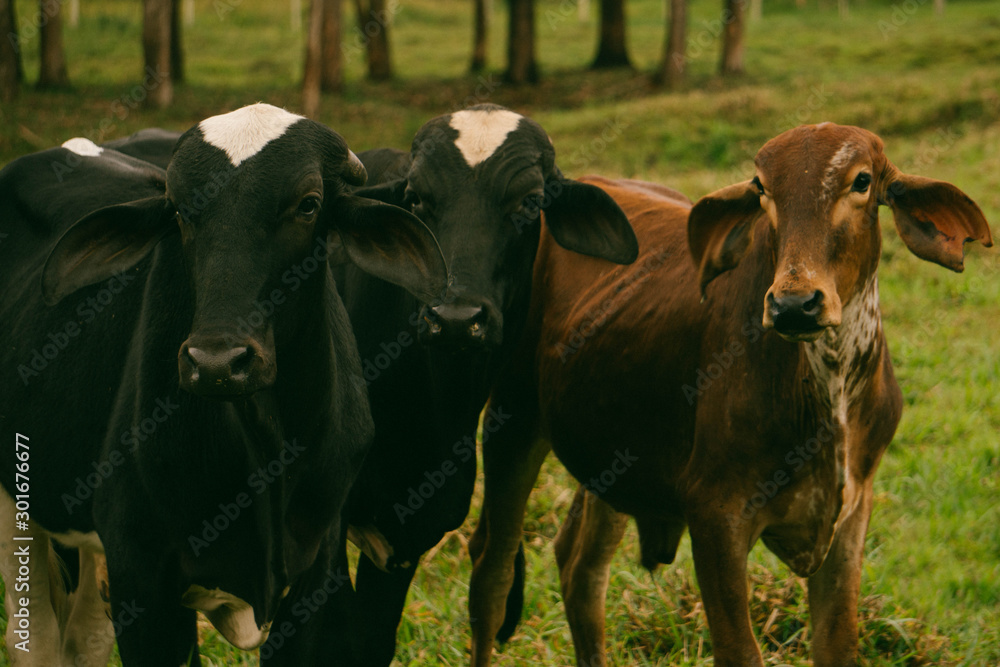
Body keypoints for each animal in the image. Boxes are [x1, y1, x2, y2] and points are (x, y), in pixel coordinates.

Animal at [0, 102, 448, 665]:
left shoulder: (315, 574)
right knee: (35, 642)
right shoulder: (140, 578)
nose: (215, 362)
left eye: (308, 205)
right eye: (178, 210)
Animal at [466, 123, 992, 666]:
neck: (828, 388)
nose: (794, 304)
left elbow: (838, 644)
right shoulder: (715, 515)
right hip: (511, 417)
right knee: (492, 572)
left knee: (580, 566)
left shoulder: (850, 513)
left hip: (607, 452)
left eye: (862, 181)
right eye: (762, 188)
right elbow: (739, 650)